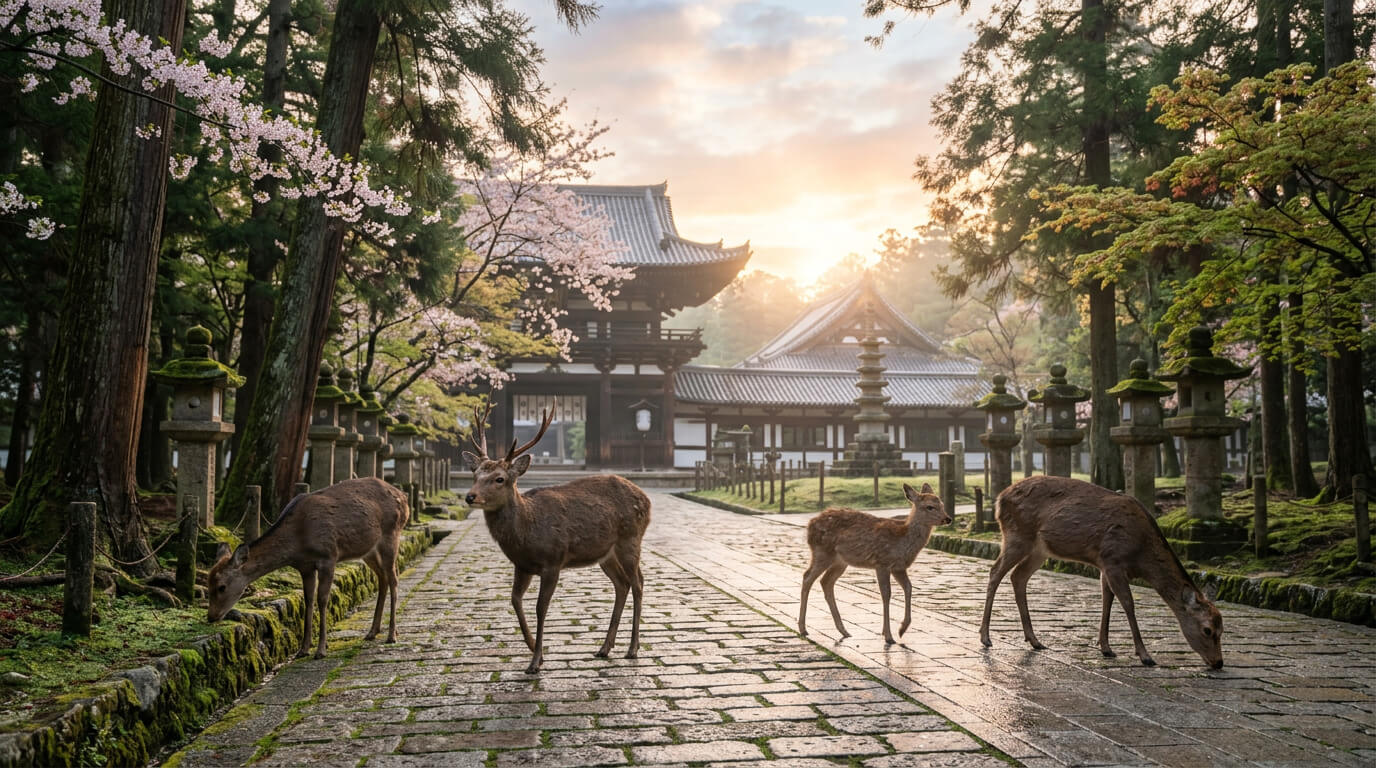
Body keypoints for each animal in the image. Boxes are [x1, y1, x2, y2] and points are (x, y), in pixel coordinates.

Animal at [207, 476, 409, 659]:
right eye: (208, 584)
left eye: (221, 587)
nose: (211, 617)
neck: (298, 541)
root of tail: (404, 499)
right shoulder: (305, 567)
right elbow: (308, 600)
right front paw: (303, 649)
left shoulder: (328, 556)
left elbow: (323, 599)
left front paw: (321, 650)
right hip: (368, 550)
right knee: (382, 578)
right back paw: (372, 631)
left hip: (391, 535)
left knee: (394, 579)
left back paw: (392, 635)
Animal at [463, 402, 652, 674]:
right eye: (475, 475)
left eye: (500, 478)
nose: (470, 496)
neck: (526, 534)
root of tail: (647, 499)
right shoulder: (522, 565)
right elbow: (515, 600)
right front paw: (533, 647)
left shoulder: (553, 560)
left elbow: (541, 607)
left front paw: (535, 662)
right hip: (606, 554)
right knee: (622, 584)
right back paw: (604, 648)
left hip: (631, 539)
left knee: (638, 582)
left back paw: (633, 648)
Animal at [798, 482, 951, 645]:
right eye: (929, 507)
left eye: (942, 504)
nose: (948, 519)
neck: (902, 540)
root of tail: (810, 525)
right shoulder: (882, 562)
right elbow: (886, 594)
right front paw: (888, 636)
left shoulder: (899, 567)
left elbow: (909, 588)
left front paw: (901, 629)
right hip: (822, 552)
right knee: (807, 577)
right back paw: (803, 628)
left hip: (840, 561)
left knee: (826, 581)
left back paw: (844, 630)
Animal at [979, 475, 1224, 669]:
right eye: (1208, 630)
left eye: (1222, 630)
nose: (1219, 663)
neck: (1140, 554)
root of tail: (999, 500)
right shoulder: (1113, 558)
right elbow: (1128, 603)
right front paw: (1145, 656)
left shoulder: (1105, 566)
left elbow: (1108, 601)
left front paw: (1106, 648)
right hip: (1017, 536)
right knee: (995, 572)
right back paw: (985, 637)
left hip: (1039, 549)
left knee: (1018, 576)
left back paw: (1034, 640)